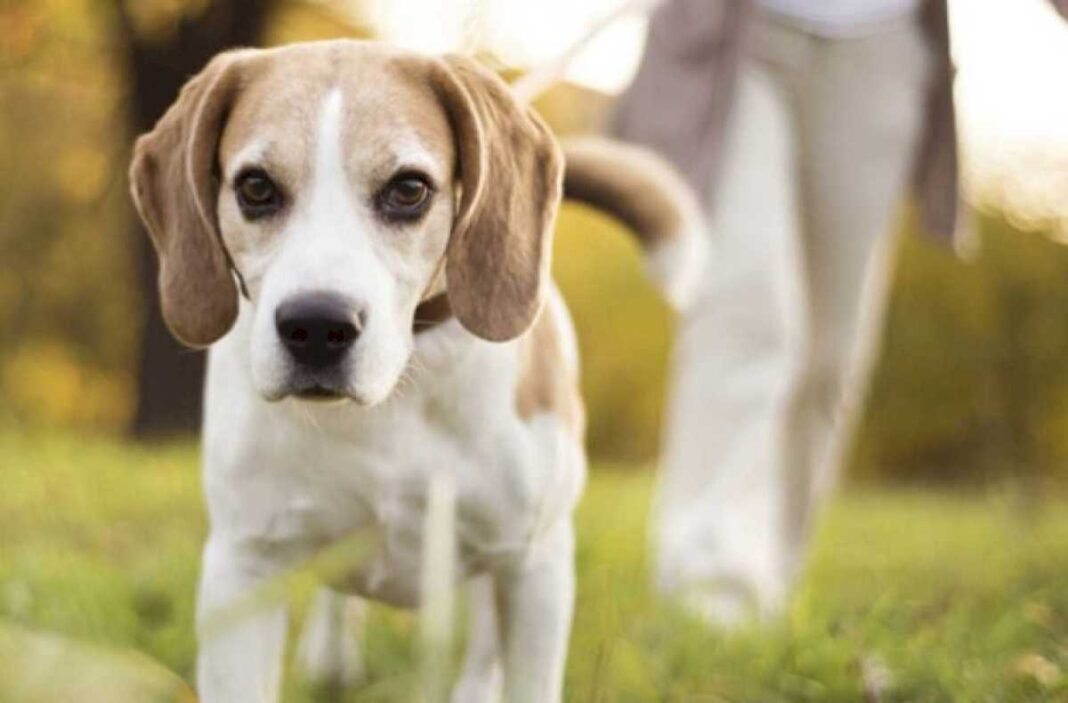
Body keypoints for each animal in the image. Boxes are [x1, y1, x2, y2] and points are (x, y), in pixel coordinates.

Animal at [129, 39, 704, 700]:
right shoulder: (242, 566)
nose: (317, 326)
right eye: (255, 187)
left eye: (408, 189)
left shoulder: (535, 566)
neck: (397, 394)